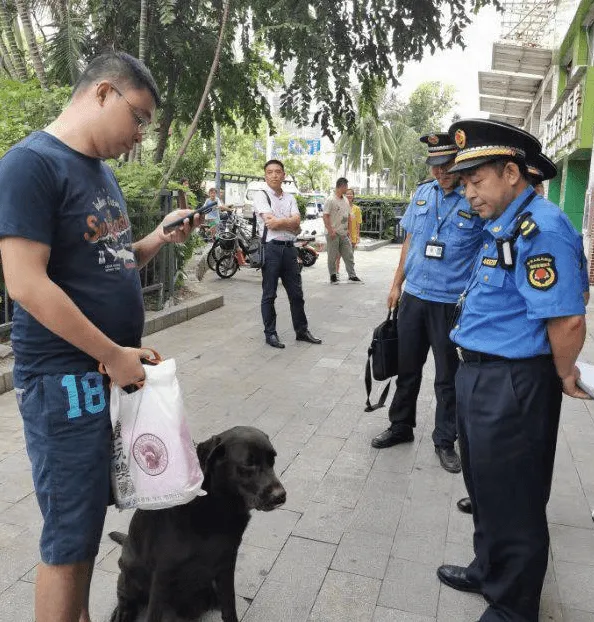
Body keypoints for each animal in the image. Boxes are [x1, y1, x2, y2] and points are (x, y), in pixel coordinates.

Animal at [110, 428, 286, 622]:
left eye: (272, 460)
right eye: (249, 463)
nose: (281, 496)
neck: (216, 508)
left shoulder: (226, 564)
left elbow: (229, 605)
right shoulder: (162, 575)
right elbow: (153, 613)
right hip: (129, 568)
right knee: (123, 591)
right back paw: (123, 611)